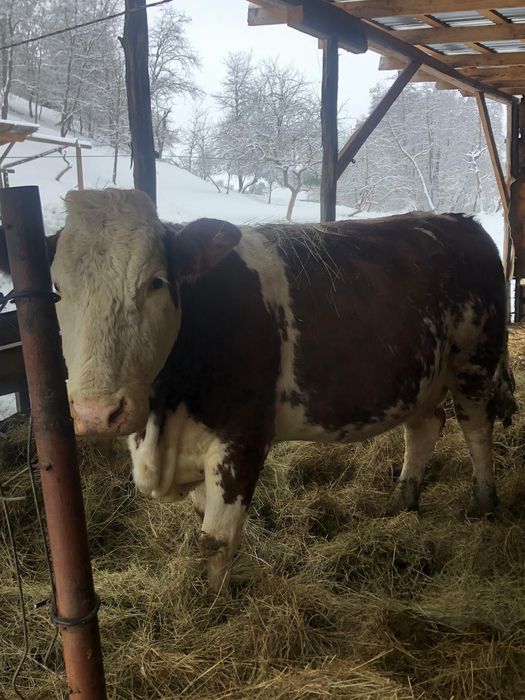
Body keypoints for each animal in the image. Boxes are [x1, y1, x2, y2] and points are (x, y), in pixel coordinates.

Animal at [0, 189, 517, 593]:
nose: (96, 412)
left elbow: (215, 539)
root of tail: (456, 220)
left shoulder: (242, 439)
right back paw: (402, 501)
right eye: (57, 289)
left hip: (475, 359)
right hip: (420, 373)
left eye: (156, 282)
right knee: (425, 426)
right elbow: (203, 523)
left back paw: (483, 503)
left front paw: (214, 606)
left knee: (476, 428)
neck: (161, 423)